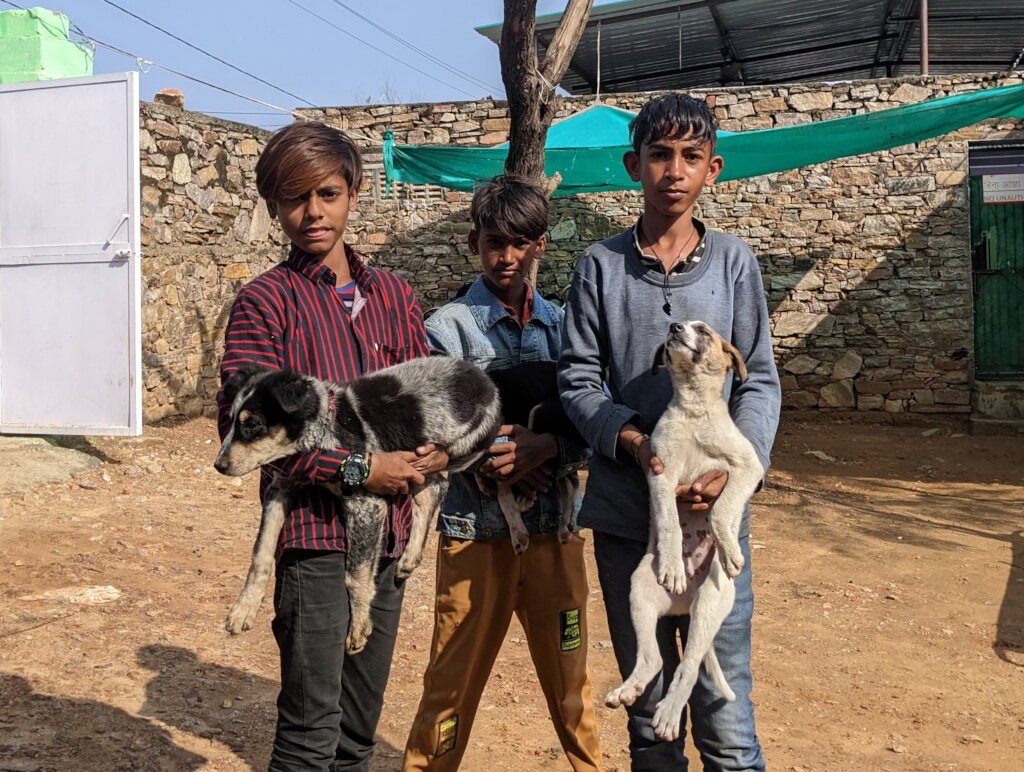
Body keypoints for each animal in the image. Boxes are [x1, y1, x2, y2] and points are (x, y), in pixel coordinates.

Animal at [214, 356, 501, 654]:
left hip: (455, 446)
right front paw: (244, 608)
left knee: (448, 478)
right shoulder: (280, 488)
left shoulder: (367, 505)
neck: (325, 426)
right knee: (432, 489)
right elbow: (261, 553)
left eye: (253, 425)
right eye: (230, 421)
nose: (218, 466)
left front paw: (360, 626)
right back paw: (410, 557)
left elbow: (356, 575)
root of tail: (483, 380)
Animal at [483, 361, 585, 554]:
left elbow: (503, 488)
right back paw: (565, 527)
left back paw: (527, 498)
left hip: (542, 413)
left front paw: (518, 535)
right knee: (569, 479)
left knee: (554, 472)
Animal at [605, 321, 764, 741]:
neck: (694, 410)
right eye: (677, 326)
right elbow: (670, 523)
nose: (675, 326)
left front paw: (729, 551)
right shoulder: (660, 472)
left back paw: (668, 713)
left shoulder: (747, 467)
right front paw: (674, 566)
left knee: (689, 668)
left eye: (703, 330)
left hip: (710, 603)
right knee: (654, 660)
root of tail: (684, 604)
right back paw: (629, 691)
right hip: (638, 593)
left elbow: (721, 508)